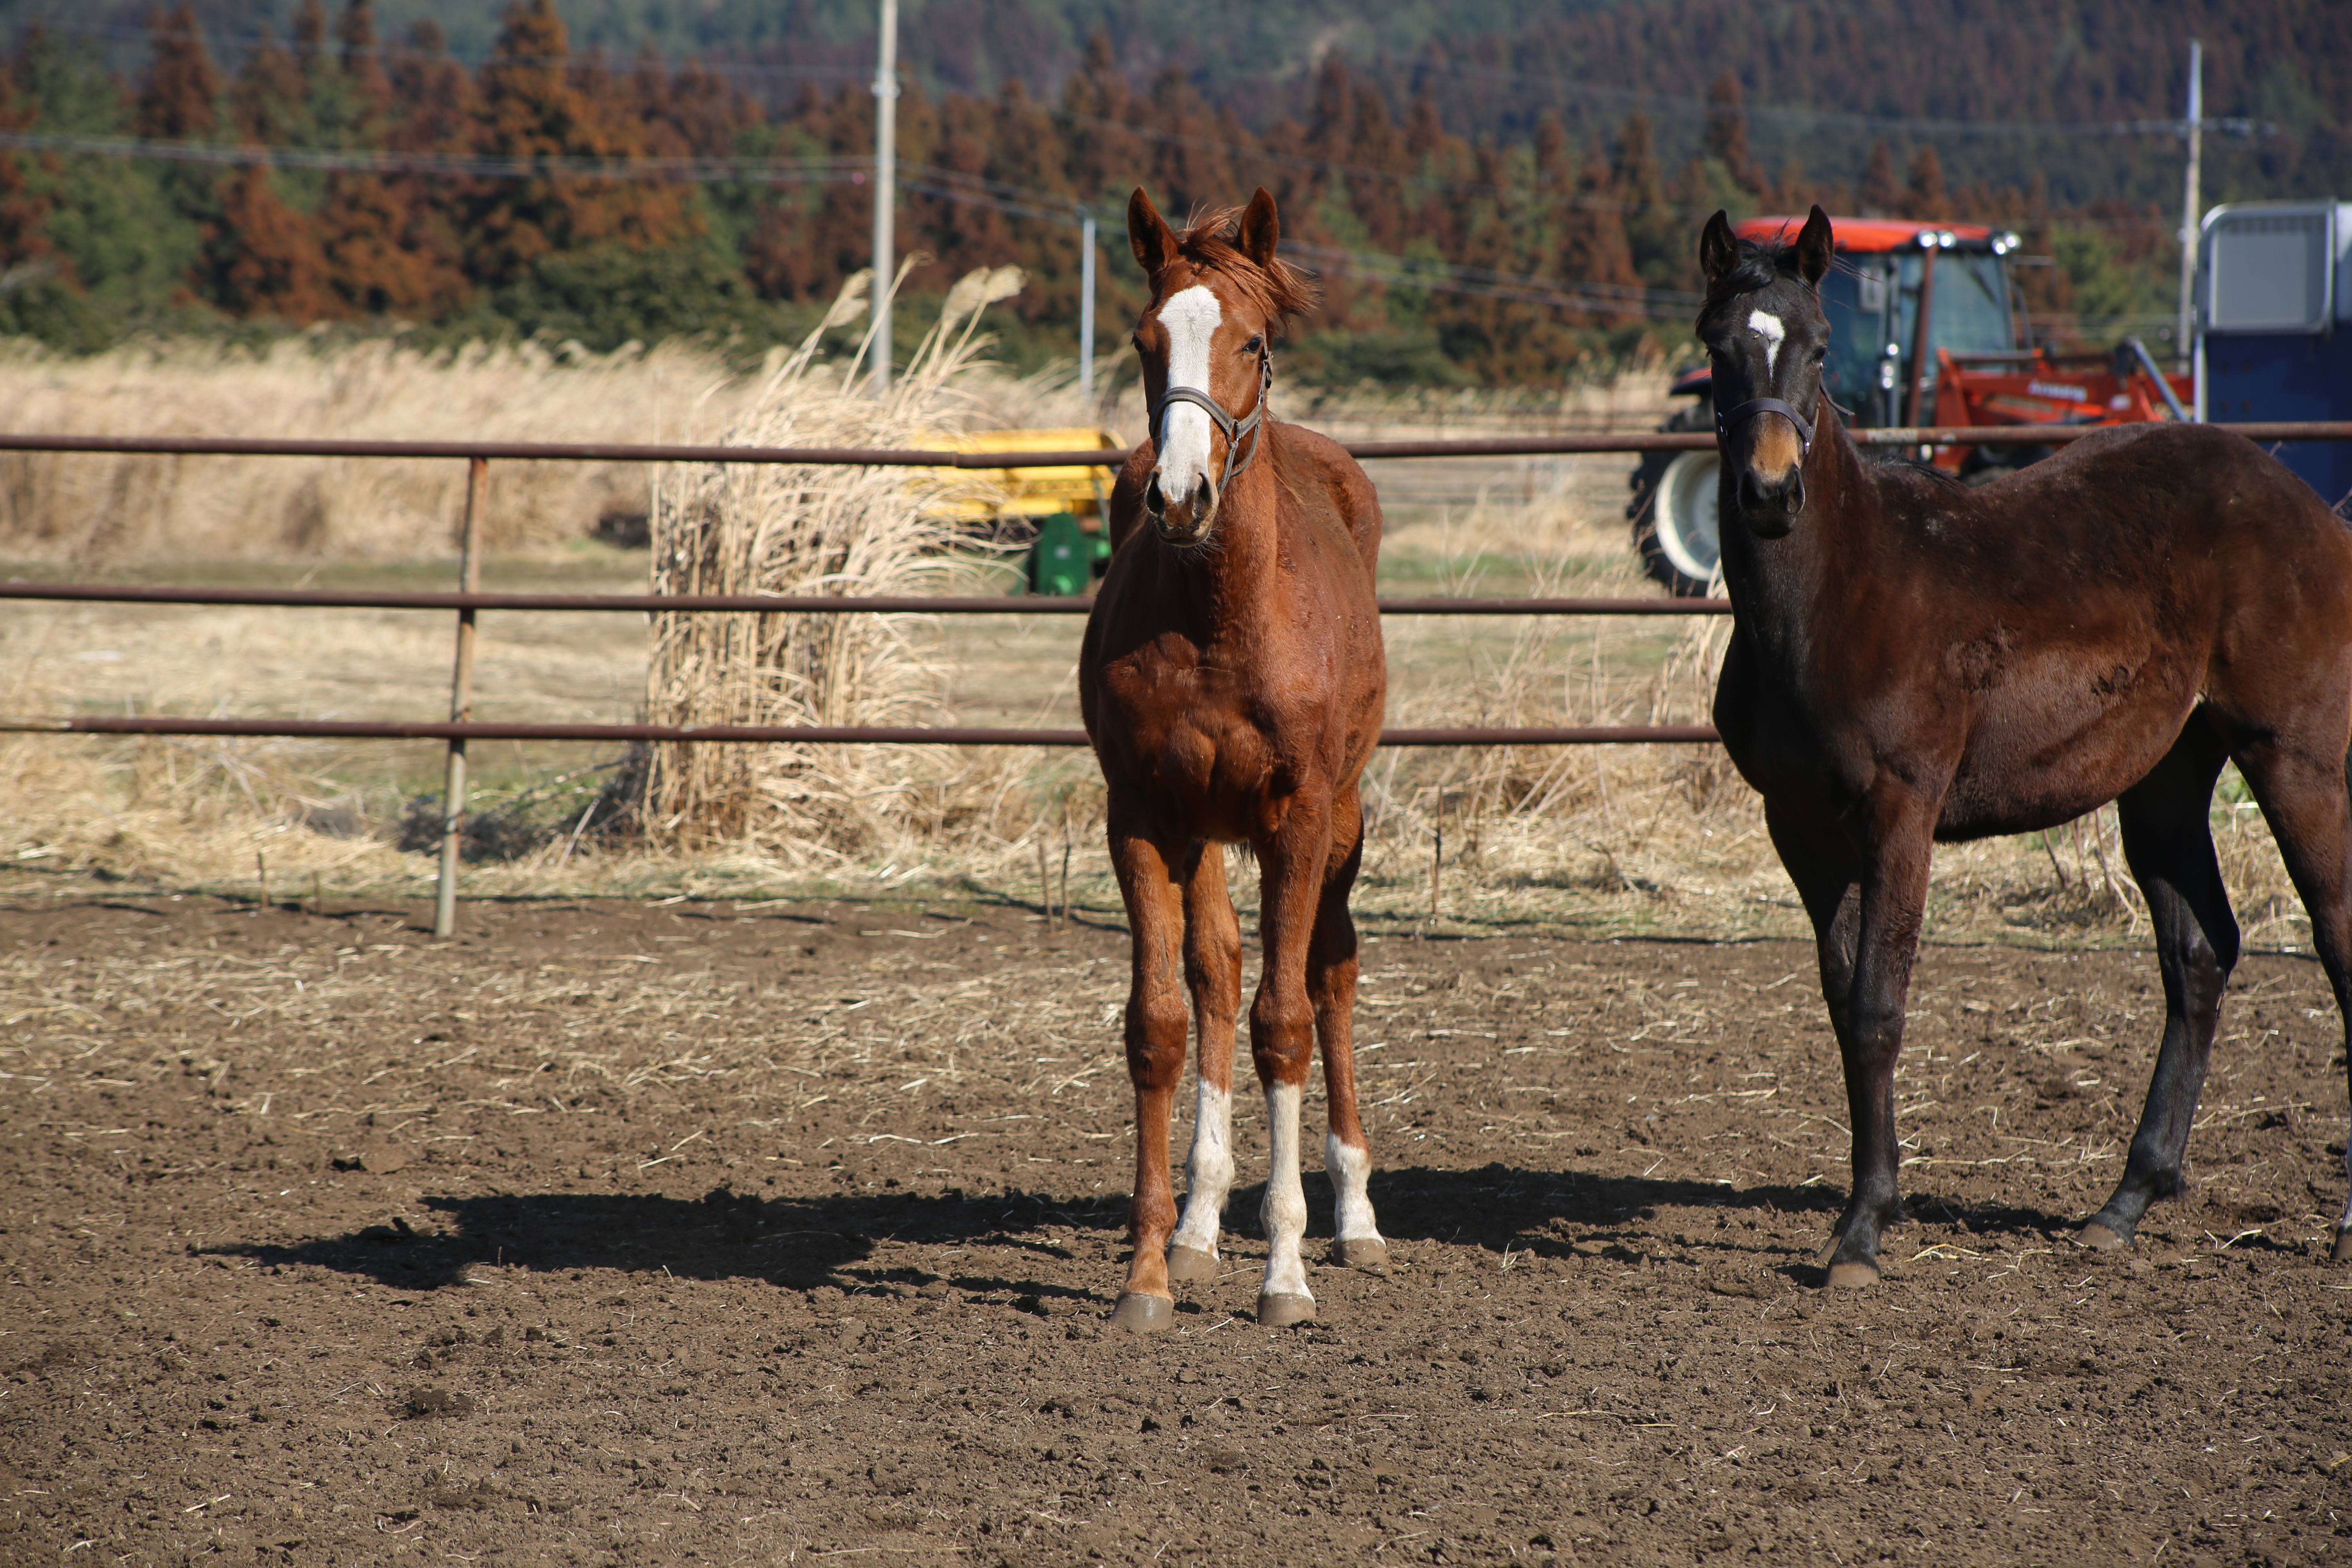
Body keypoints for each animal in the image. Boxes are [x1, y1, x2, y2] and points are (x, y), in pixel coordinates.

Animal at [1087, 190, 1392, 1335]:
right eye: (1143, 340)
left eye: (1253, 342)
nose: (1180, 496)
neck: (1222, 620)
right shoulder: (1140, 814)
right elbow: (1163, 1023)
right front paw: (1150, 1272)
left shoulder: (1299, 816)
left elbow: (1284, 1020)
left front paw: (1287, 1273)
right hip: (1206, 831)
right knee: (1215, 972)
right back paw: (1198, 1224)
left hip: (1343, 820)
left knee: (1332, 973)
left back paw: (1353, 1215)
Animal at [1703, 205, 2352, 1288]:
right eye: (1716, 346)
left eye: (1820, 346)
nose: (1768, 492)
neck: (1834, 595)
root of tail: (2313, 508)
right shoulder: (1799, 828)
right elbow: (1842, 1009)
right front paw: (1863, 1209)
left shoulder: (1899, 812)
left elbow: (1878, 1008)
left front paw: (1862, 1233)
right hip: (2165, 779)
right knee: (2197, 956)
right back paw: (2123, 1203)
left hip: (2296, 759)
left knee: (2331, 946)